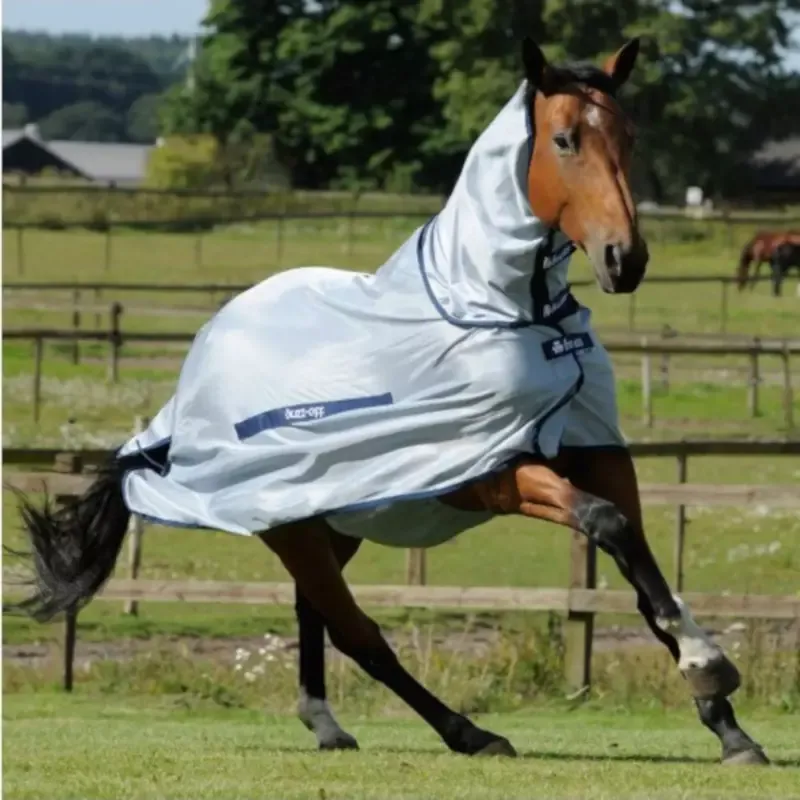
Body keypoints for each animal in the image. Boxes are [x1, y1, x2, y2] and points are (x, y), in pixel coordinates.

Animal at [10, 37, 769, 766]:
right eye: (564, 140)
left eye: (630, 135)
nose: (624, 259)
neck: (504, 309)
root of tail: (197, 370)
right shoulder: (488, 473)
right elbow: (608, 527)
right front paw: (709, 666)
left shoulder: (600, 451)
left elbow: (640, 568)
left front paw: (729, 728)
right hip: (290, 527)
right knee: (356, 631)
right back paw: (468, 733)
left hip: (334, 516)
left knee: (313, 612)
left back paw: (326, 723)